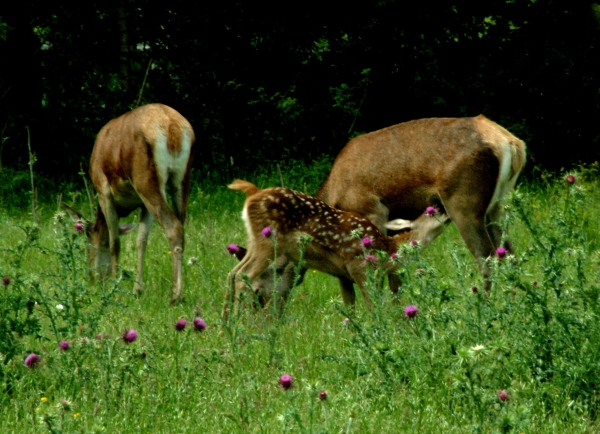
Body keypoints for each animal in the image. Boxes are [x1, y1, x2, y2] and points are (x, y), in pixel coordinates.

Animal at [68, 103, 195, 304]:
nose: (92, 279)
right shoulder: (142, 204)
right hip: (182, 179)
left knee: (173, 227)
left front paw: (115, 286)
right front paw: (137, 289)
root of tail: (173, 128)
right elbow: (141, 240)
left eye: (88, 245)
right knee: (182, 225)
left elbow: (114, 242)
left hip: (146, 181)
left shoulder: (104, 192)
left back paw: (175, 296)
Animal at [223, 180, 448, 318]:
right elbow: (372, 305)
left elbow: (351, 307)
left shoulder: (344, 274)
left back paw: (226, 324)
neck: (387, 249)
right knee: (243, 275)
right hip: (269, 242)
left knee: (233, 273)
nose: (442, 207)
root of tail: (252, 193)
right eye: (430, 212)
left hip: (255, 243)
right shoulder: (359, 265)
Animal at [234, 115, 524, 304]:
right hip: (499, 204)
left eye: (263, 284)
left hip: (464, 202)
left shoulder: (371, 210)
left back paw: (486, 306)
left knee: (486, 257)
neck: (335, 193)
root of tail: (511, 144)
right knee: (508, 254)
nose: (263, 310)